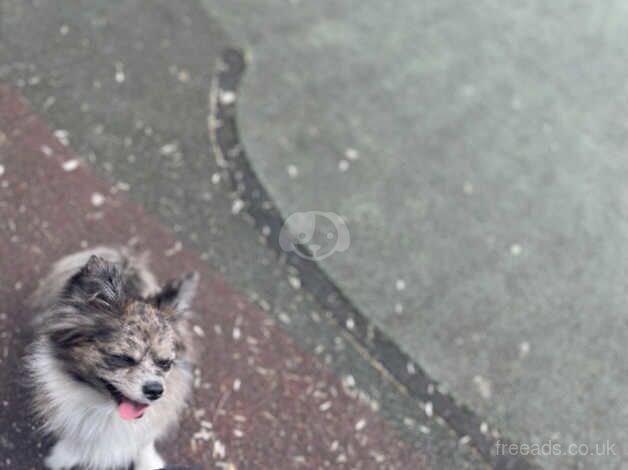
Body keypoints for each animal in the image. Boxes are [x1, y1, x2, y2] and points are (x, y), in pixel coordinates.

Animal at [25, 246, 199, 470]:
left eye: (165, 363)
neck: (108, 411)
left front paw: (148, 462)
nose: (155, 390)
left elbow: (144, 442)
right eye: (123, 358)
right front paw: (63, 457)